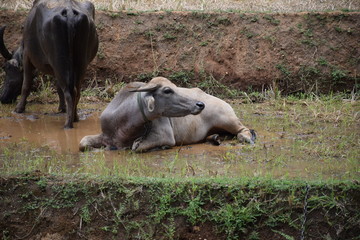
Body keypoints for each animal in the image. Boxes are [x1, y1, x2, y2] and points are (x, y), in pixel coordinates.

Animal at [0, 0, 98, 128]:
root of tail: (70, 12)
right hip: (80, 64)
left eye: (6, 68)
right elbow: (58, 87)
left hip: (60, 62)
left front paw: (19, 108)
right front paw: (62, 108)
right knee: (76, 91)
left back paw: (68, 124)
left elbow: (26, 85)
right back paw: (75, 117)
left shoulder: (27, 56)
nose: (2, 97)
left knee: (69, 92)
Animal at [79, 77, 256, 152]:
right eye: (167, 90)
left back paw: (246, 137)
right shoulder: (105, 135)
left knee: (243, 129)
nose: (200, 104)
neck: (124, 124)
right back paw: (214, 138)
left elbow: (137, 147)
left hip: (227, 119)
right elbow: (83, 142)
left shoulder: (165, 136)